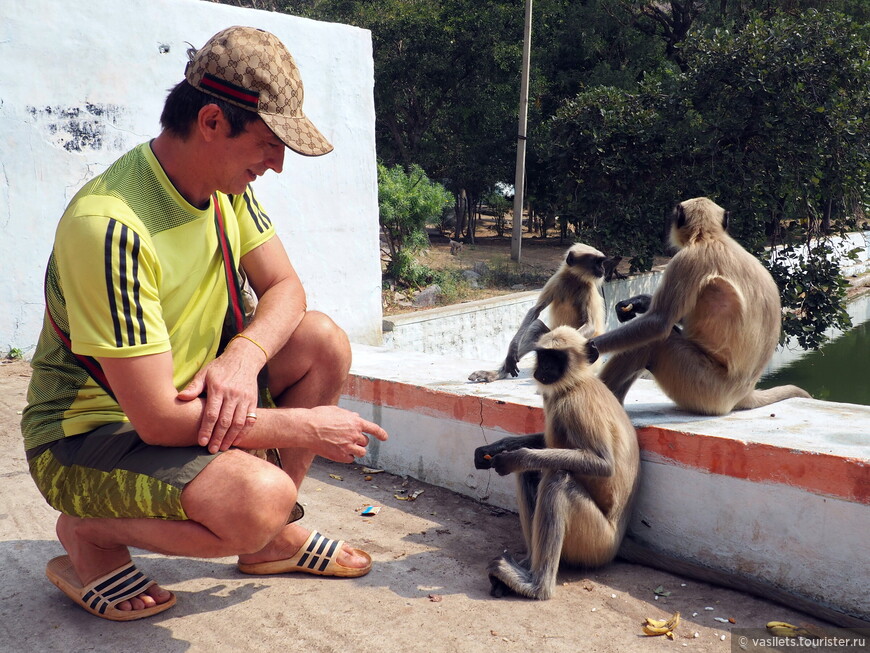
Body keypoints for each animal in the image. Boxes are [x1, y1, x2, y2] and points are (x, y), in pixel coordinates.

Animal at [470, 244, 608, 382]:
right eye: (597, 262)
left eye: (601, 262)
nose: (603, 269)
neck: (574, 280)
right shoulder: (556, 280)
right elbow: (535, 310)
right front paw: (512, 350)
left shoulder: (588, 290)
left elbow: (590, 325)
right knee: (535, 327)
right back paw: (498, 373)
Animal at [474, 328, 636, 600]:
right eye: (543, 356)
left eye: (557, 358)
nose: (544, 368)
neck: (576, 383)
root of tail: (617, 542)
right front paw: (494, 448)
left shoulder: (576, 405)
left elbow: (603, 465)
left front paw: (513, 458)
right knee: (531, 474)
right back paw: (526, 566)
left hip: (597, 542)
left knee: (557, 478)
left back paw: (536, 586)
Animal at [588, 196, 816, 416]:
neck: (711, 237)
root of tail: (743, 394)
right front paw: (639, 302)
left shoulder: (686, 260)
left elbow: (658, 323)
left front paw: (586, 346)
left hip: (704, 388)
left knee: (656, 342)